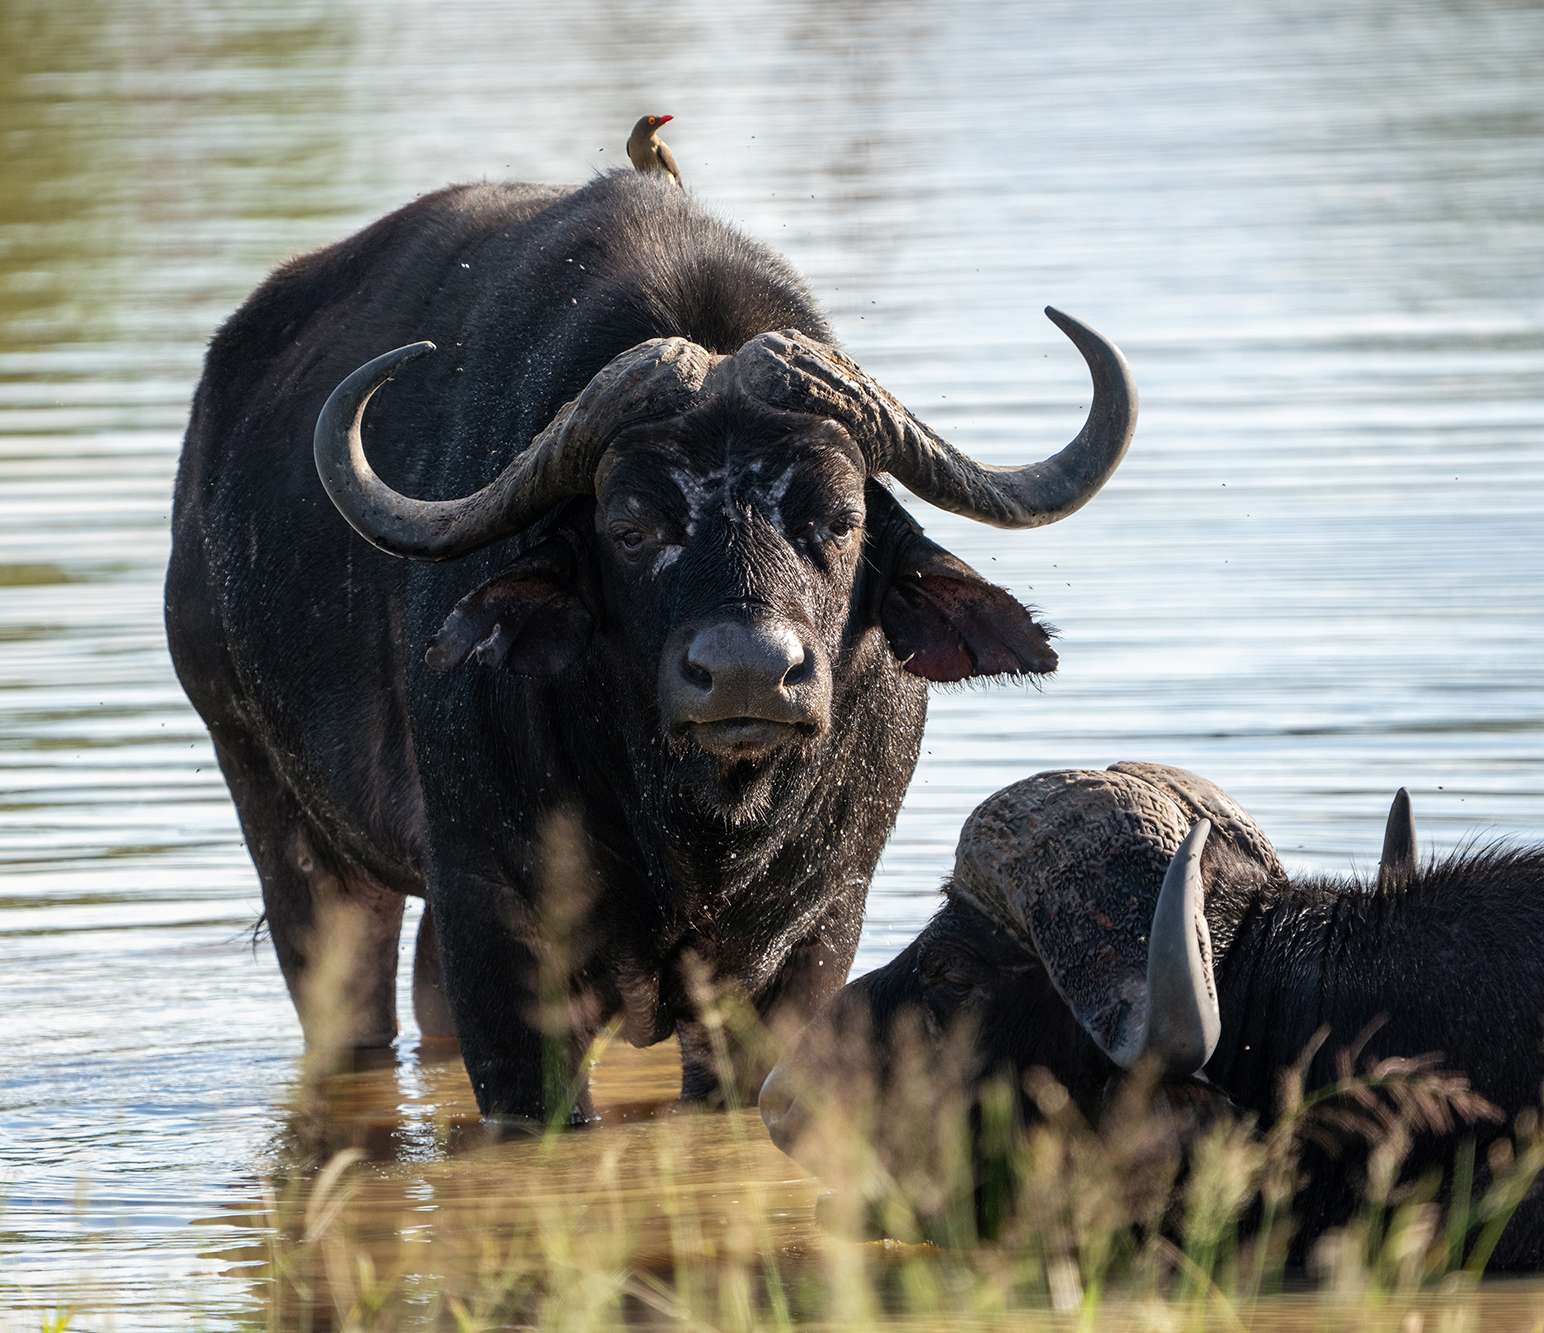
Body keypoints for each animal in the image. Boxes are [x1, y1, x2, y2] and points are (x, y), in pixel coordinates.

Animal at [165, 171, 1137, 1122]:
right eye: (631, 527)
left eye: (840, 518)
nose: (750, 674)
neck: (699, 829)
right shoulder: (496, 927)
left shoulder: (816, 935)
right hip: (277, 807)